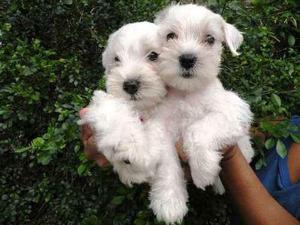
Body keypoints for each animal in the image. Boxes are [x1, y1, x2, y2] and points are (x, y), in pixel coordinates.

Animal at [79, 21, 188, 225]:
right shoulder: (105, 102)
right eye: (116, 59)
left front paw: (169, 202)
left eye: (153, 56)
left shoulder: (165, 122)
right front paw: (130, 155)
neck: (143, 109)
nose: (130, 85)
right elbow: (113, 112)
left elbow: (167, 159)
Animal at [152, 4, 255, 192]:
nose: (187, 59)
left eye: (210, 39)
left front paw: (203, 171)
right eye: (170, 36)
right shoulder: (163, 129)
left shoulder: (234, 111)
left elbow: (197, 129)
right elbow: (167, 170)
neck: (187, 92)